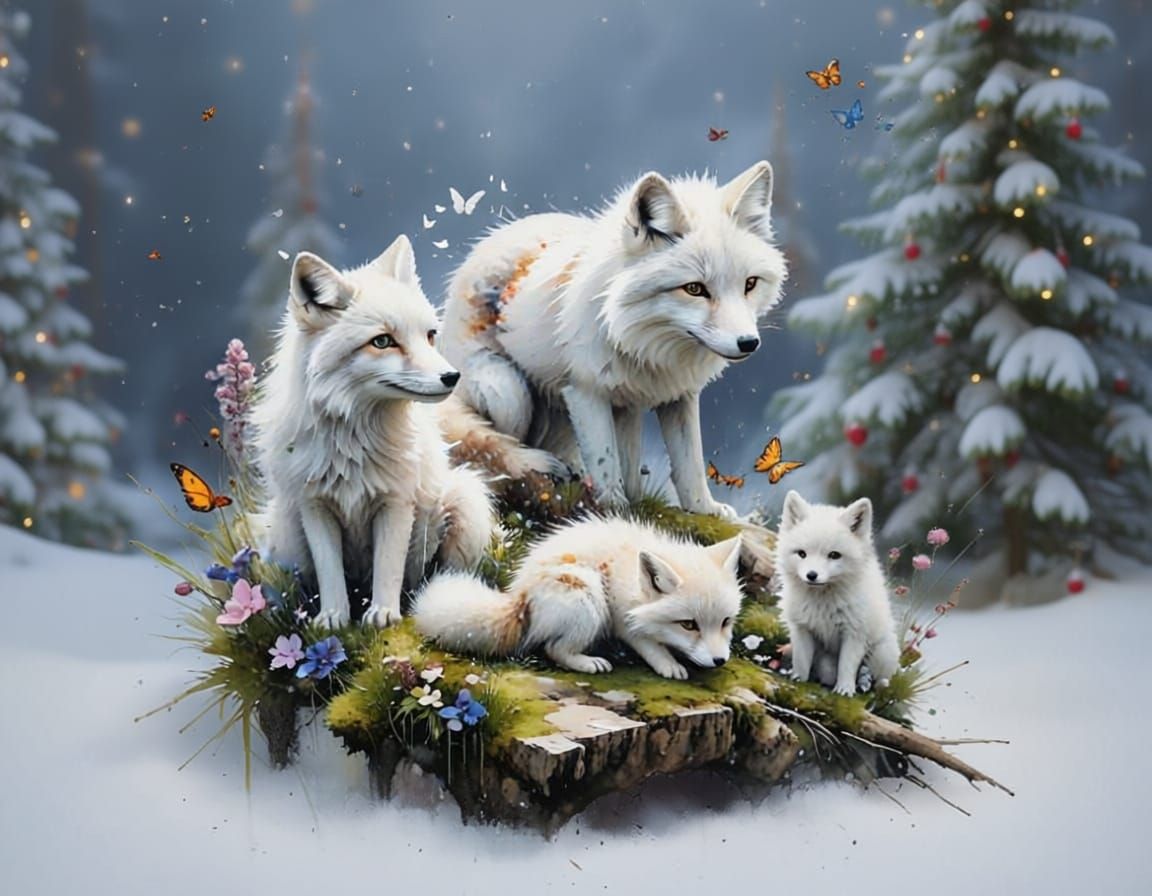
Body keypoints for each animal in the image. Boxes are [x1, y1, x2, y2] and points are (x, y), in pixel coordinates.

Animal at [253, 235, 496, 628]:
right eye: (382, 342)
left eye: (430, 336)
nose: (452, 377)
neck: (352, 443)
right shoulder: (314, 505)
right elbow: (330, 572)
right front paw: (333, 618)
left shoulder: (396, 501)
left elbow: (388, 568)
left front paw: (384, 614)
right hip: (283, 532)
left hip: (464, 503)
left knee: (434, 577)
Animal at [411, 518, 744, 680]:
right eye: (689, 624)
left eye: (725, 622)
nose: (720, 661)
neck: (631, 580)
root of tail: (519, 599)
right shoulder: (622, 616)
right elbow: (649, 644)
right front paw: (669, 664)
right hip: (588, 594)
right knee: (553, 649)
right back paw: (589, 662)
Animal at [440, 161, 788, 519]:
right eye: (694, 289)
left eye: (749, 284)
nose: (748, 343)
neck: (645, 344)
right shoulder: (585, 391)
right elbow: (606, 462)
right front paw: (612, 510)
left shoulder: (679, 395)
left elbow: (689, 463)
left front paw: (703, 509)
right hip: (505, 390)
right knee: (499, 446)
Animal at [775, 490, 901, 696]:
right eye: (802, 554)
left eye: (834, 555)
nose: (812, 575)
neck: (823, 603)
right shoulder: (802, 629)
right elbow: (801, 661)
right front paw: (798, 680)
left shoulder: (854, 633)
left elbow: (846, 666)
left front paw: (845, 690)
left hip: (881, 653)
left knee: (880, 681)